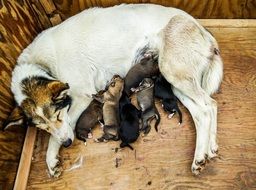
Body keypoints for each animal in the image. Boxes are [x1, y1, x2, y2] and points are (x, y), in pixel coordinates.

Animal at [5, 3, 223, 177]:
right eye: (42, 128)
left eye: (58, 116)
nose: (67, 143)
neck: (41, 65)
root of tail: (200, 27)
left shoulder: (81, 97)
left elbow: (56, 136)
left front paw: (51, 159)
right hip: (176, 83)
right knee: (202, 113)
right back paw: (206, 152)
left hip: (173, 72)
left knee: (209, 106)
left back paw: (201, 156)